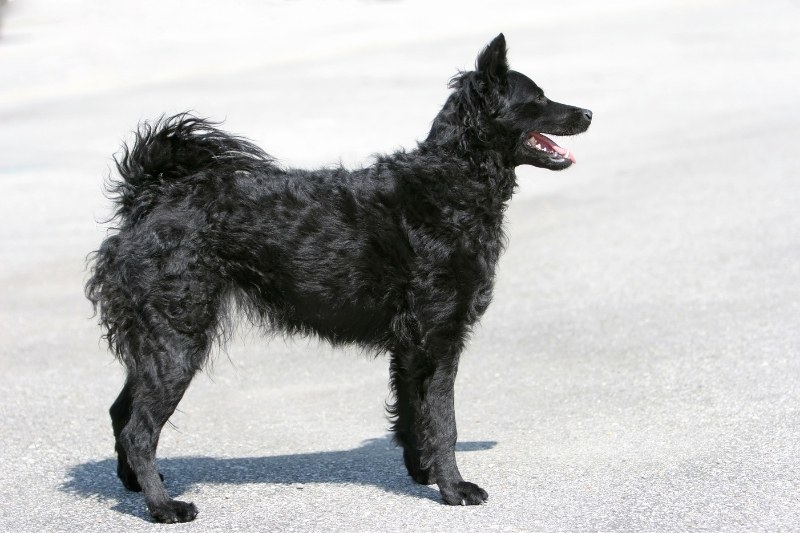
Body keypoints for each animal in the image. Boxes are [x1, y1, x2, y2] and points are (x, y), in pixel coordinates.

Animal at [86, 34, 588, 524]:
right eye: (538, 98)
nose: (588, 113)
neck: (451, 184)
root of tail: (150, 197)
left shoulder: (410, 347)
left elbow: (414, 417)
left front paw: (424, 474)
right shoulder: (438, 339)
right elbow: (443, 421)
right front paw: (454, 489)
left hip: (157, 342)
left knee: (120, 413)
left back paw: (137, 486)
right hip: (177, 339)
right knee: (139, 429)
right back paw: (162, 507)